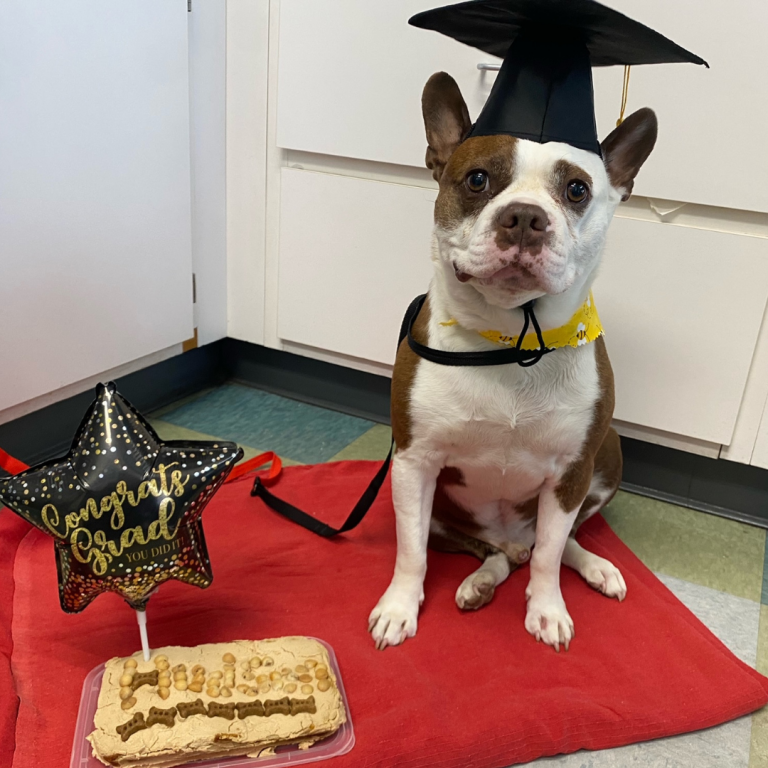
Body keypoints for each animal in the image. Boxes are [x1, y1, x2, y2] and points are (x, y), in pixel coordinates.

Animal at [368, 72, 656, 652]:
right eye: (477, 179)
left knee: (554, 543)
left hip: (606, 456)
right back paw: (480, 581)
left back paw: (593, 566)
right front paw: (399, 607)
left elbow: (550, 556)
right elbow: (411, 551)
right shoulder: (413, 464)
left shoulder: (571, 471)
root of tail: (511, 537)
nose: (524, 216)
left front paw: (547, 609)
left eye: (577, 190)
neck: (510, 339)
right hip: (436, 506)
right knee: (492, 553)